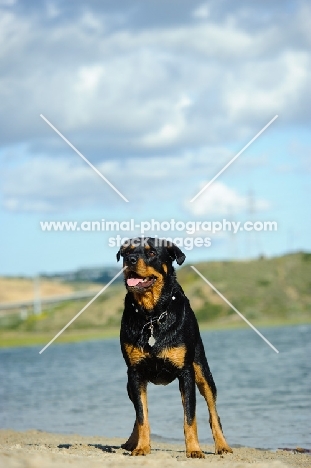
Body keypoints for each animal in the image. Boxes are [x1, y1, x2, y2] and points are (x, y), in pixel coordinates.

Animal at [117, 238, 232, 458]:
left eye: (152, 252)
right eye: (126, 252)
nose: (130, 259)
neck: (152, 316)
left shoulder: (186, 373)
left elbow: (190, 417)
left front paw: (194, 450)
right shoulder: (135, 373)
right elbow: (142, 416)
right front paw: (142, 447)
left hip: (202, 370)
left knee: (213, 412)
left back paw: (223, 446)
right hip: (128, 385)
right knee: (138, 412)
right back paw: (132, 442)